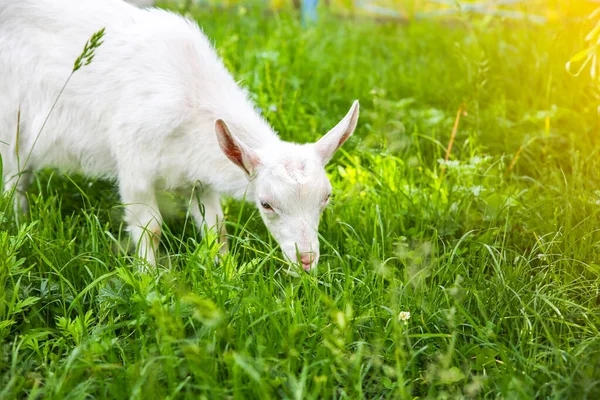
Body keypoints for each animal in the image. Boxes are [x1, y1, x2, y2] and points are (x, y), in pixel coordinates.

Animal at [0, 0, 360, 270]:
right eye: (266, 204)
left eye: (326, 197)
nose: (307, 259)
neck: (192, 100)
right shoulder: (135, 167)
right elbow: (151, 229)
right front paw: (149, 280)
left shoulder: (200, 178)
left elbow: (217, 228)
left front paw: (225, 271)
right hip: (12, 121)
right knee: (14, 177)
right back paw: (16, 221)